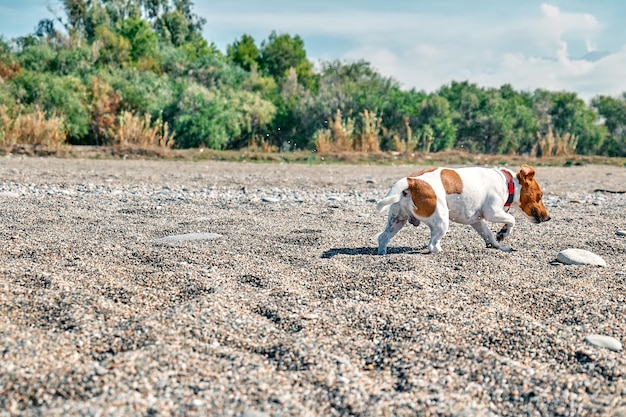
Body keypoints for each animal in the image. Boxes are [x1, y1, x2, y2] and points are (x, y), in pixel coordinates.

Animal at [376, 163, 544, 254]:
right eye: (540, 195)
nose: (548, 217)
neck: (507, 182)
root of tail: (411, 181)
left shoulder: (477, 221)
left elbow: (489, 235)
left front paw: (499, 245)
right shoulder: (492, 213)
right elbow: (512, 220)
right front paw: (503, 233)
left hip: (397, 221)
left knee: (383, 237)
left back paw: (382, 252)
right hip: (442, 222)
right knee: (432, 244)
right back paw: (440, 251)